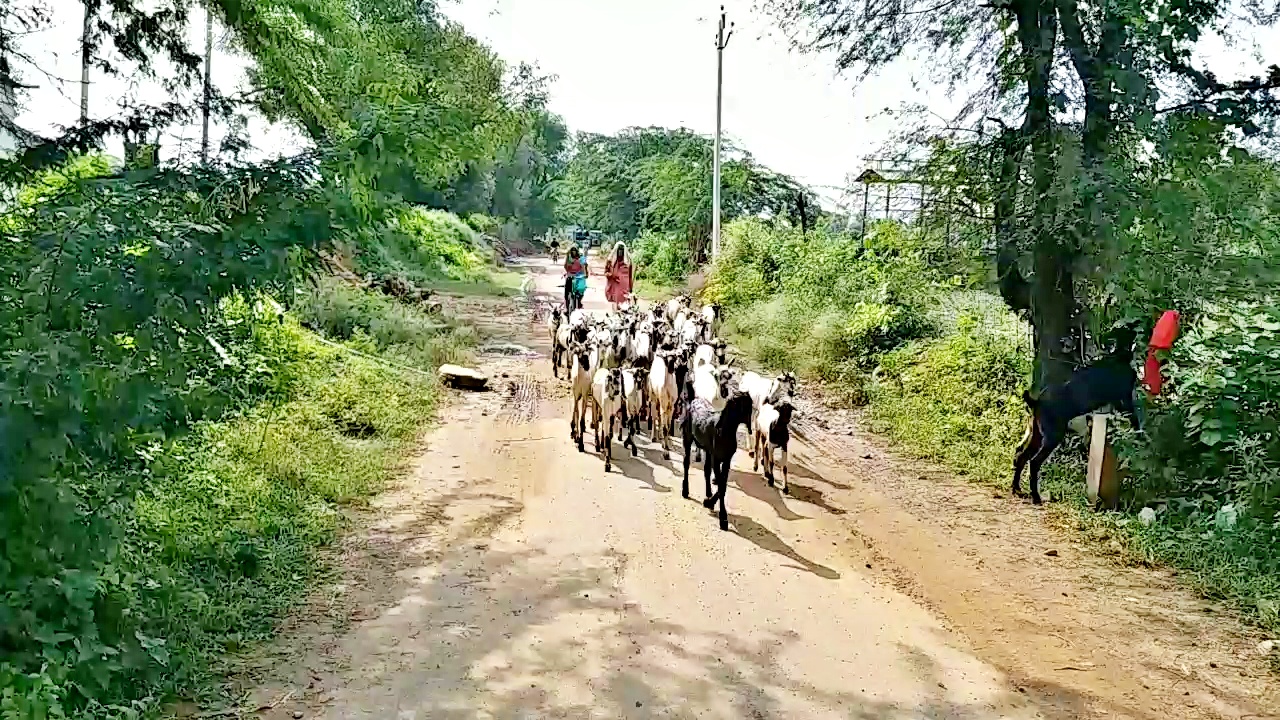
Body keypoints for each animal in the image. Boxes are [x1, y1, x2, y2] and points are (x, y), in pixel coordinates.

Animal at [686, 389, 752, 530]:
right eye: (745, 406)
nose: (750, 429)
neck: (723, 431)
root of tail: (695, 399)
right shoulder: (716, 459)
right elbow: (721, 485)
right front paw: (723, 517)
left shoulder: (726, 460)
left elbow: (723, 485)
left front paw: (709, 502)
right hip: (687, 438)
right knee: (686, 463)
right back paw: (685, 491)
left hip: (707, 450)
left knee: (706, 470)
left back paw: (708, 493)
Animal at [1013, 353, 1146, 502]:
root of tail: (1036, 402)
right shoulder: (1123, 398)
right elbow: (1134, 417)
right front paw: (1140, 434)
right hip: (1052, 437)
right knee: (1034, 462)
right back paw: (1036, 497)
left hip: (1036, 434)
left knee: (1021, 456)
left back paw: (1017, 489)